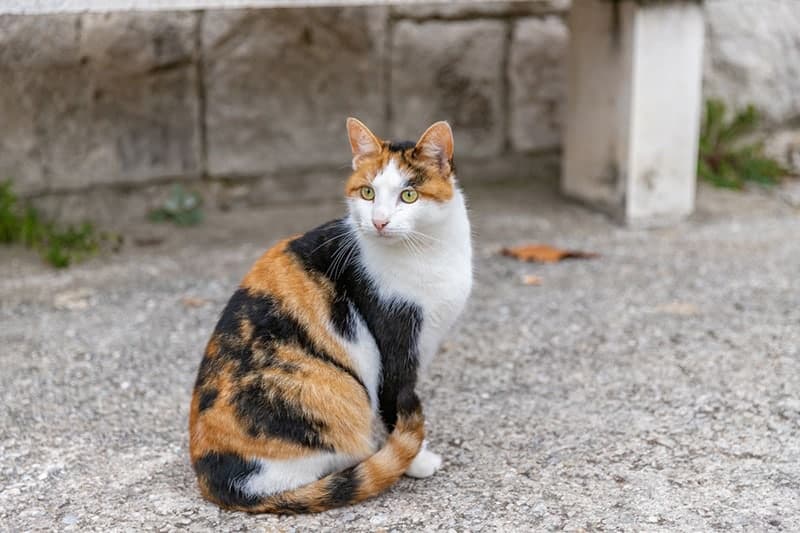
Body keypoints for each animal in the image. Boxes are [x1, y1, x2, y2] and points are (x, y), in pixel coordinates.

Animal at [190, 118, 472, 512]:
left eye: (409, 196)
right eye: (367, 193)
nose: (379, 222)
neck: (429, 251)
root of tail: (221, 482)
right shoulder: (395, 344)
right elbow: (395, 402)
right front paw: (416, 460)